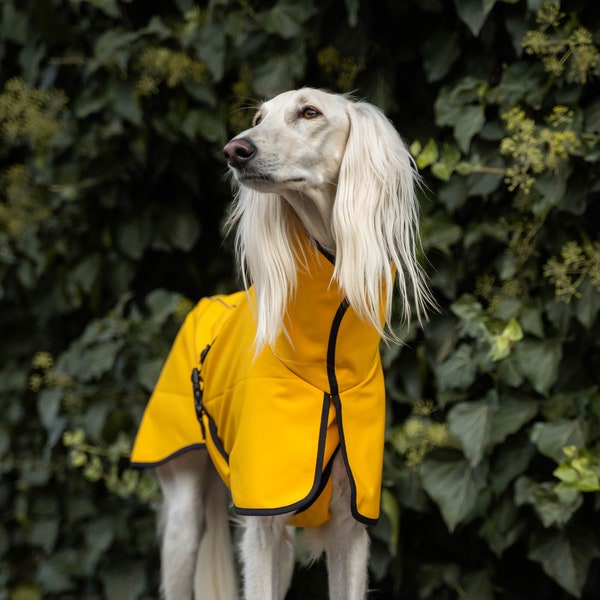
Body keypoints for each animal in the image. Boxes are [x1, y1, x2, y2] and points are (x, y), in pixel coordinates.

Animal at [130, 85, 432, 600]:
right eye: (258, 118)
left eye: (309, 112)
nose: (234, 150)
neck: (325, 360)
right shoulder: (262, 522)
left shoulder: (350, 526)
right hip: (186, 513)